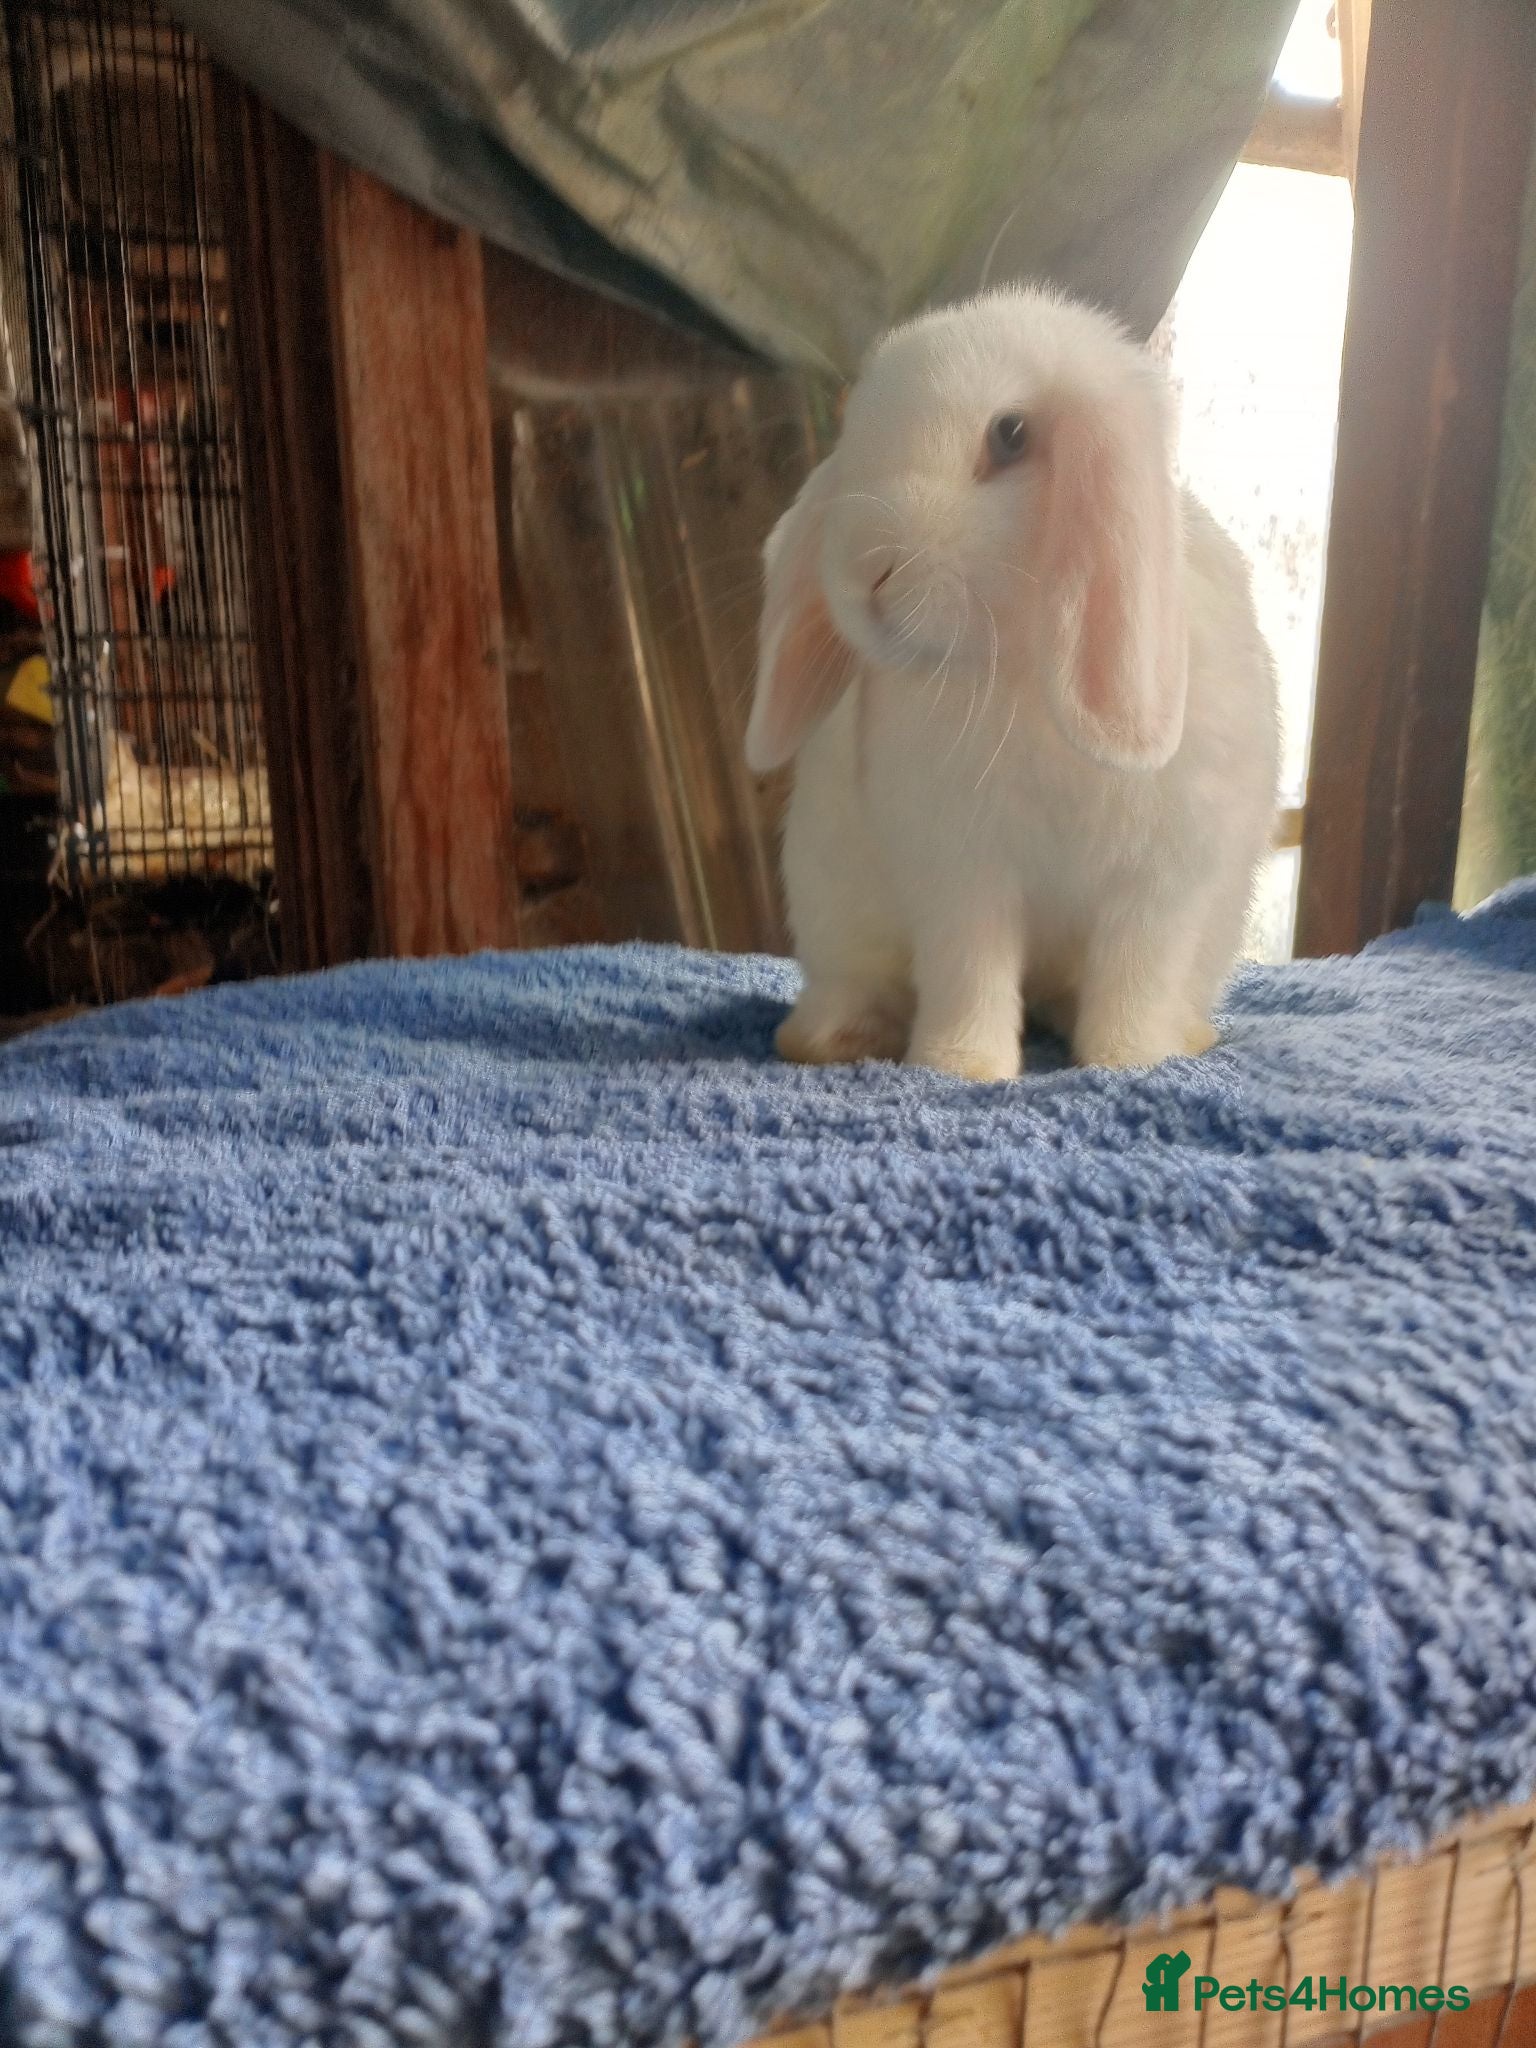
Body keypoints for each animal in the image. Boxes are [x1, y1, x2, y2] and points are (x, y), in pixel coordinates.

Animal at [745, 285, 1280, 1082]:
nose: (865, 570)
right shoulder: (961, 872)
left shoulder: (1161, 886)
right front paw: (960, 1068)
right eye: (852, 431)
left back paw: (1186, 1034)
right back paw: (829, 1039)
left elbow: (1136, 979)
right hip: (831, 908)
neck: (1025, 669)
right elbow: (970, 971)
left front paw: (1128, 1062)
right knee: (854, 984)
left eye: (1011, 434)